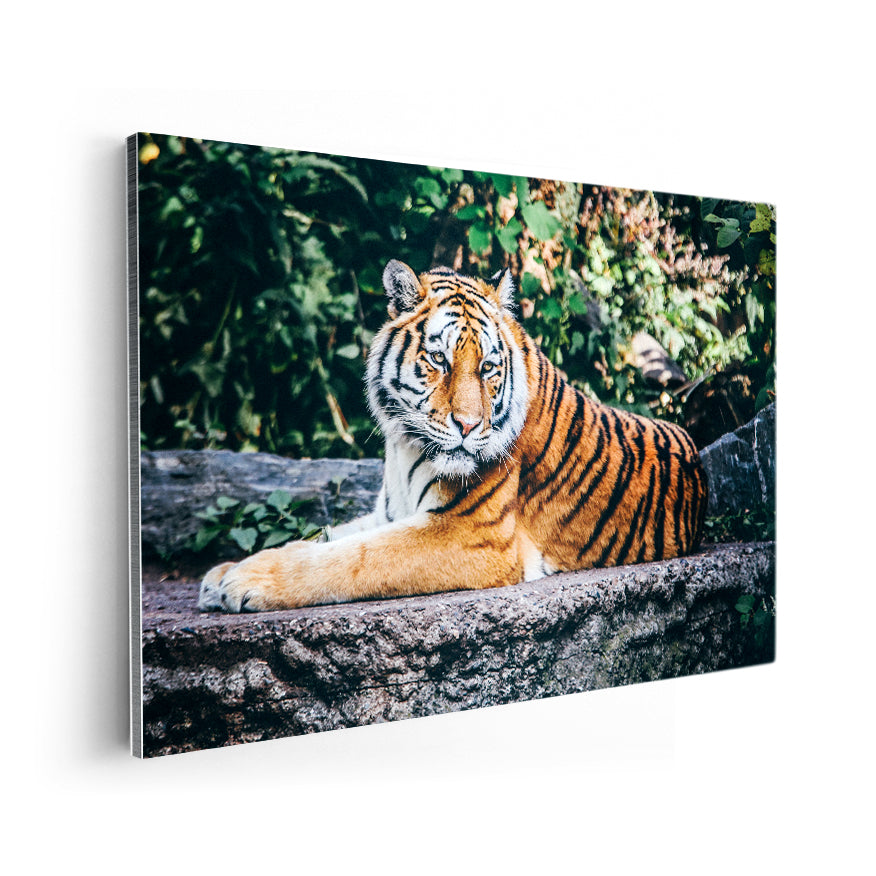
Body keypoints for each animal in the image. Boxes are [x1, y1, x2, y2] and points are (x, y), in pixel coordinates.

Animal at [198, 260, 708, 613]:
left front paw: (245, 581)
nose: (467, 425)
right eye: (439, 359)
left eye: (487, 367)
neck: (403, 447)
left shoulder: (470, 534)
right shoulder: (389, 513)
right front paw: (221, 574)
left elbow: (353, 557)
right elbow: (325, 538)